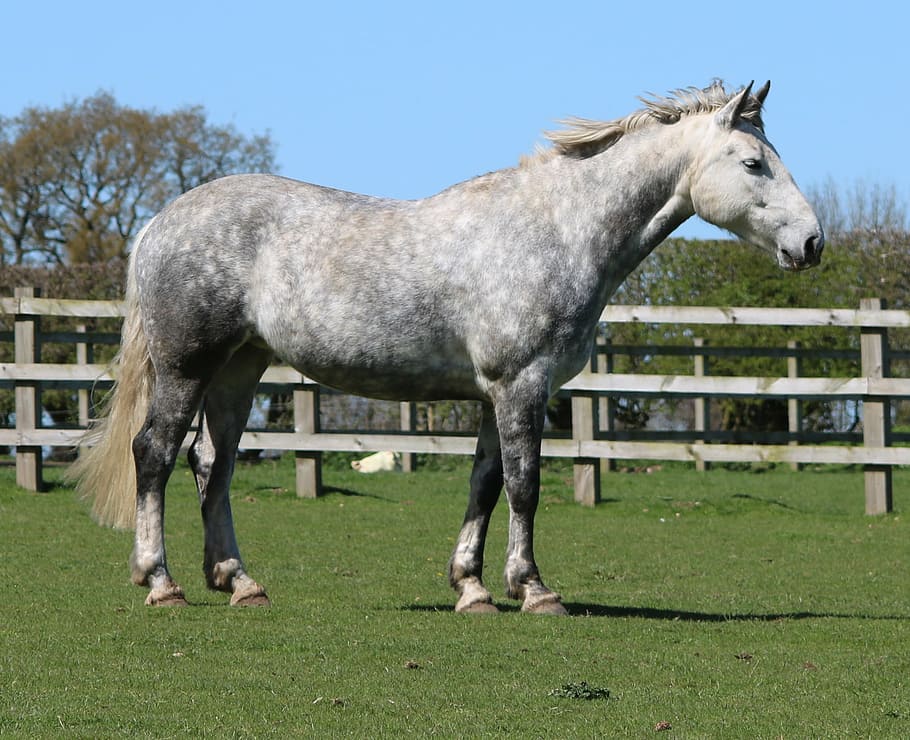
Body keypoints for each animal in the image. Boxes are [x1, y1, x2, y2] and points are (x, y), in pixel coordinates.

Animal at [72, 80, 824, 614]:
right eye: (754, 162)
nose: (813, 242)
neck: (558, 230)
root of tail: (160, 222)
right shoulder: (521, 384)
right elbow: (524, 484)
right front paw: (534, 589)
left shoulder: (499, 391)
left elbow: (485, 483)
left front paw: (473, 588)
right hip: (187, 366)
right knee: (155, 454)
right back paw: (162, 582)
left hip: (239, 369)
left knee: (213, 464)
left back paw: (239, 581)